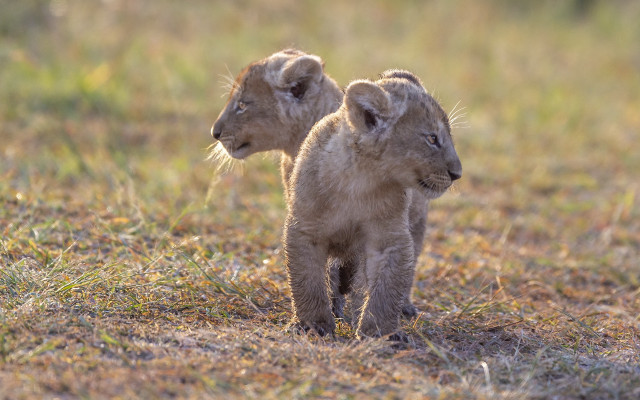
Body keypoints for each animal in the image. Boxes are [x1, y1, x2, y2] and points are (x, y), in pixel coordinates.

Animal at [283, 70, 462, 339]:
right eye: (432, 138)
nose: (457, 174)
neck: (360, 179)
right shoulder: (305, 229)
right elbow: (307, 280)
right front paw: (312, 324)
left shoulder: (389, 238)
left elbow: (385, 289)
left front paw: (379, 333)